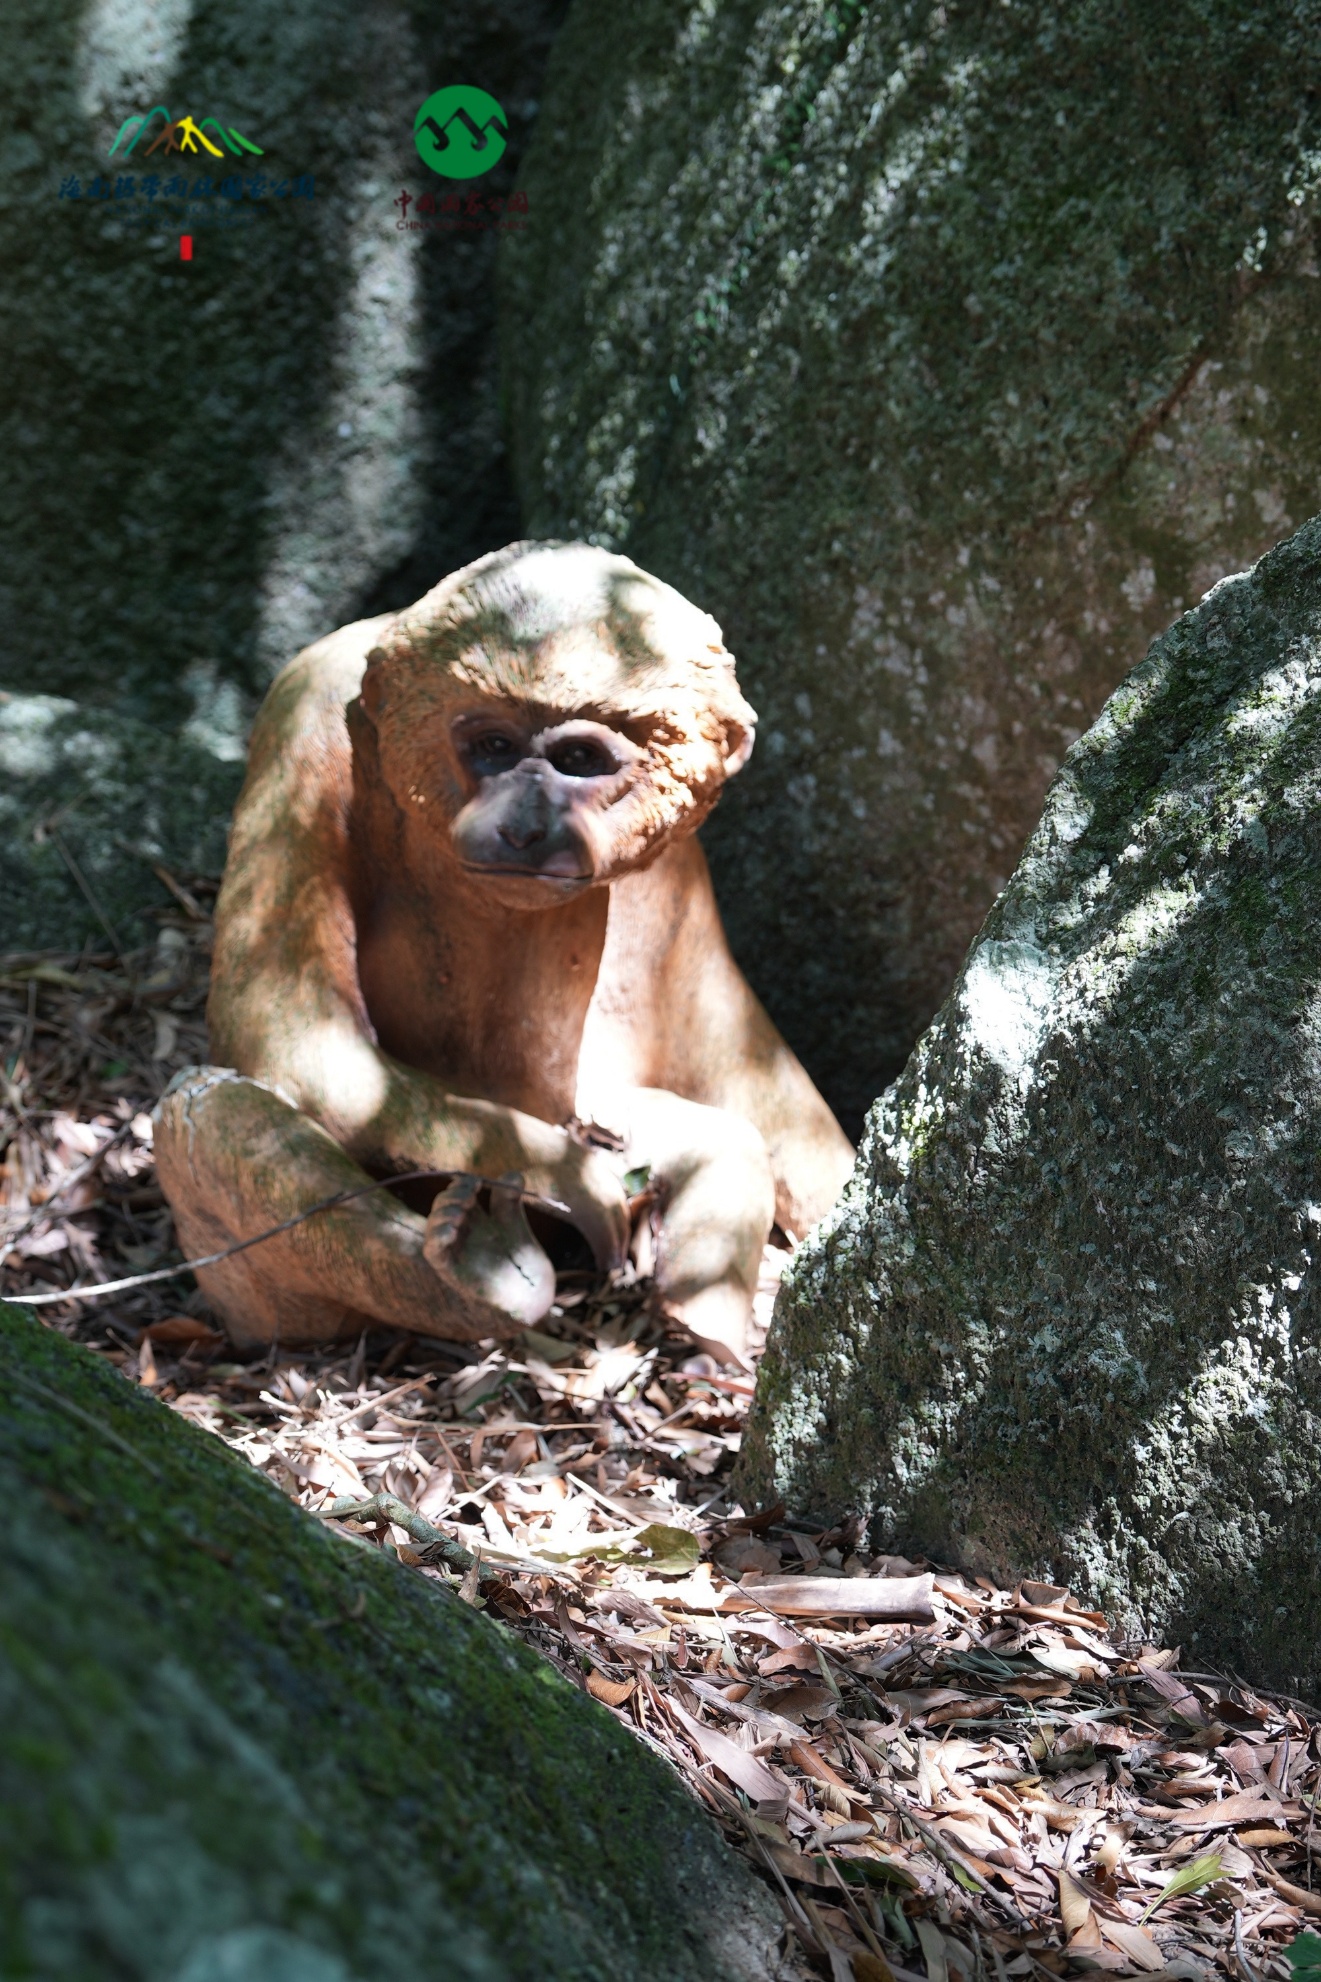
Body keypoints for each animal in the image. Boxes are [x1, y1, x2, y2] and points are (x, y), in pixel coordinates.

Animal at [154, 542, 854, 1367]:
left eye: (580, 758)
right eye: (492, 747)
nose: (525, 824)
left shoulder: (679, 858)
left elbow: (739, 1064)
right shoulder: (302, 725)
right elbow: (287, 1035)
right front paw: (568, 1174)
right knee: (211, 1113)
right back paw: (478, 1276)